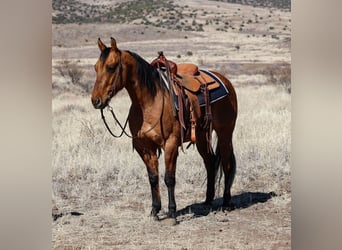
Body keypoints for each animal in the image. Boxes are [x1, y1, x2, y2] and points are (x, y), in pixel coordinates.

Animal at [91, 37, 238, 223]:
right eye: (96, 67)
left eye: (111, 67)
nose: (96, 101)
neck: (149, 102)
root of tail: (224, 80)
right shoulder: (145, 147)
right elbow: (153, 178)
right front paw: (155, 210)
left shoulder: (171, 144)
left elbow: (169, 178)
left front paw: (172, 212)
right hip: (201, 136)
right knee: (210, 162)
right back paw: (208, 200)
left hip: (225, 133)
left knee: (226, 164)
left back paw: (226, 202)